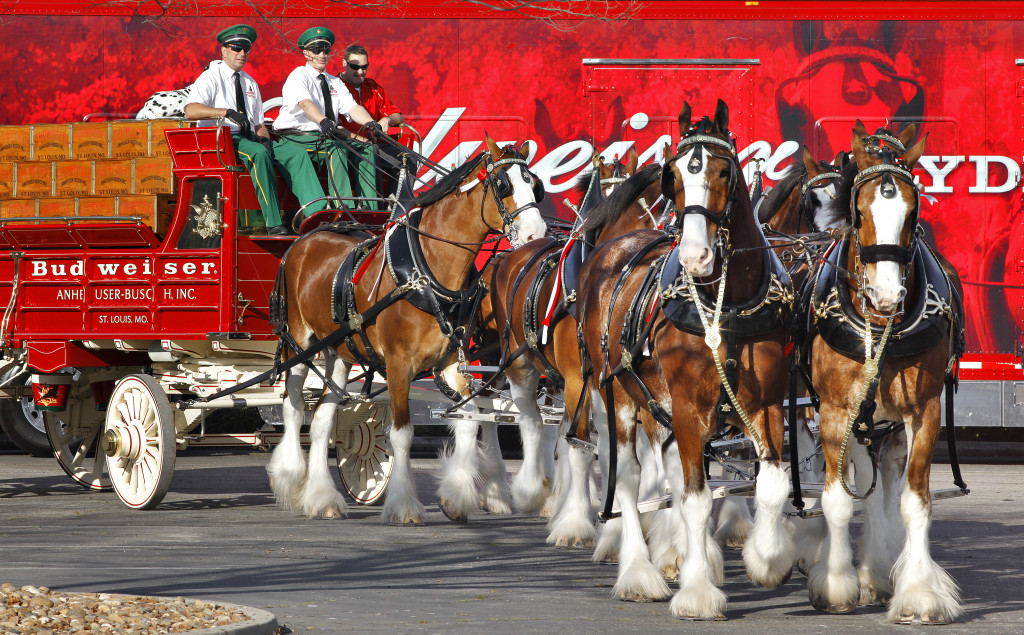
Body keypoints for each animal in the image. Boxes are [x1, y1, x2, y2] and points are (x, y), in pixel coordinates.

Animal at [268, 135, 548, 524]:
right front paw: (403, 505)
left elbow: (469, 419)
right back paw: (291, 476)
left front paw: (456, 497)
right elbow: (401, 434)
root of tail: (303, 240)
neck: (425, 273)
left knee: (323, 418)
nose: (539, 234)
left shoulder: (451, 362)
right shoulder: (399, 365)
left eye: (534, 184)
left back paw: (322, 498)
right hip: (299, 344)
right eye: (503, 184)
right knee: (294, 408)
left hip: (338, 352)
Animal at [581, 100, 794, 614]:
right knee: (631, 480)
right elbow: (696, 499)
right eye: (673, 175)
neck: (727, 304)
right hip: (619, 397)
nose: (696, 256)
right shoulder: (688, 406)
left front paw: (767, 557)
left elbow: (771, 483)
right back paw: (638, 571)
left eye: (724, 171)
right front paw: (697, 592)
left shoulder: (766, 405)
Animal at [802, 121, 962, 622]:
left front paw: (920, 592)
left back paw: (878, 569)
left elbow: (914, 501)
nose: (888, 295)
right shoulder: (836, 410)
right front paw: (836, 584)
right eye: (859, 211)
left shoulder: (924, 410)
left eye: (913, 213)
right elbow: (837, 500)